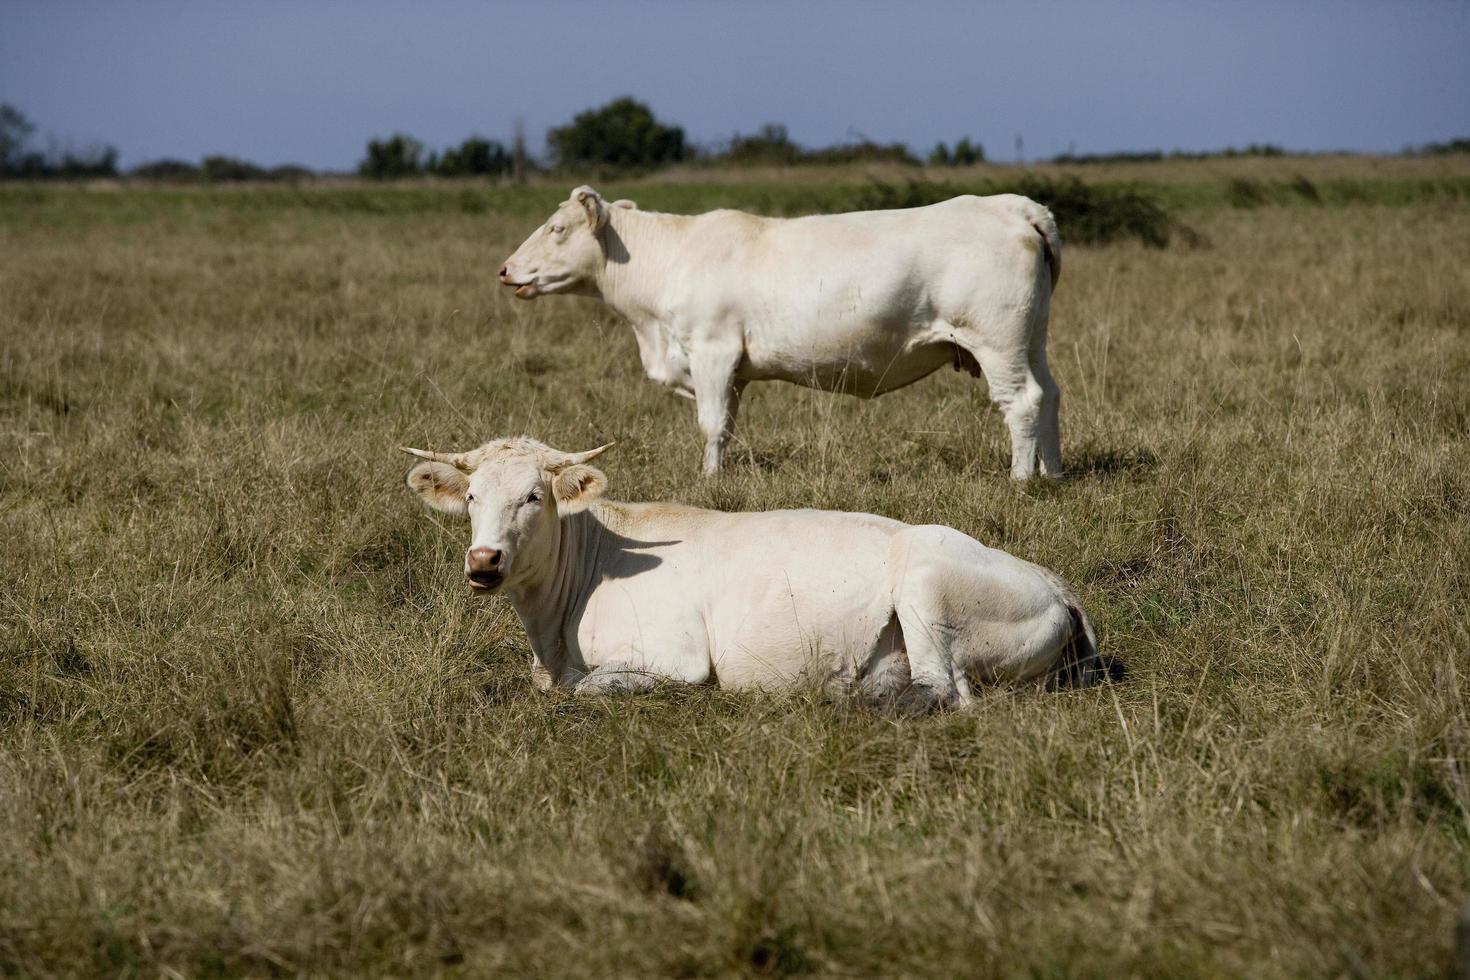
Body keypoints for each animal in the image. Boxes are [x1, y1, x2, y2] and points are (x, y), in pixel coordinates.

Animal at [396, 437, 1099, 714]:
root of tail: (1055, 582)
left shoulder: (677, 657)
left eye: (533, 498)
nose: (483, 562)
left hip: (925, 585)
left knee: (943, 690)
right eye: (471, 498)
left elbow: (585, 686)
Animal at [499, 186, 1064, 478]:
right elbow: (727, 424)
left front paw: (708, 482)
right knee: (1050, 396)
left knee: (1023, 403)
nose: (505, 269)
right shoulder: (732, 369)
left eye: (557, 228)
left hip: (997, 341)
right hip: (1031, 340)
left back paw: (1019, 481)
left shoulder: (712, 349)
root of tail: (1012, 205)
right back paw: (1052, 474)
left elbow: (710, 424)